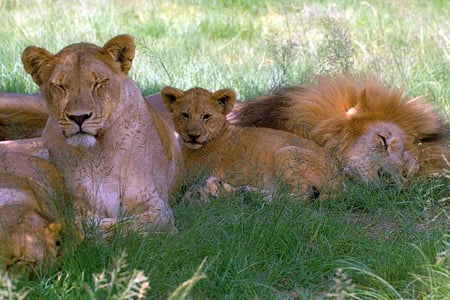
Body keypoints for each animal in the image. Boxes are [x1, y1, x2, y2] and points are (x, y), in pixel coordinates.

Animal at [20, 35, 183, 236]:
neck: (97, 153)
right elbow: (80, 222)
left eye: (98, 83)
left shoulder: (158, 207)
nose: (79, 117)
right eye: (60, 86)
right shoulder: (77, 202)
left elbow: (127, 225)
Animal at [160, 85, 336, 200]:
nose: (193, 136)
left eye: (206, 116)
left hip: (286, 152)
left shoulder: (193, 177)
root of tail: (339, 179)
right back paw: (242, 191)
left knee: (300, 196)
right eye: (185, 115)